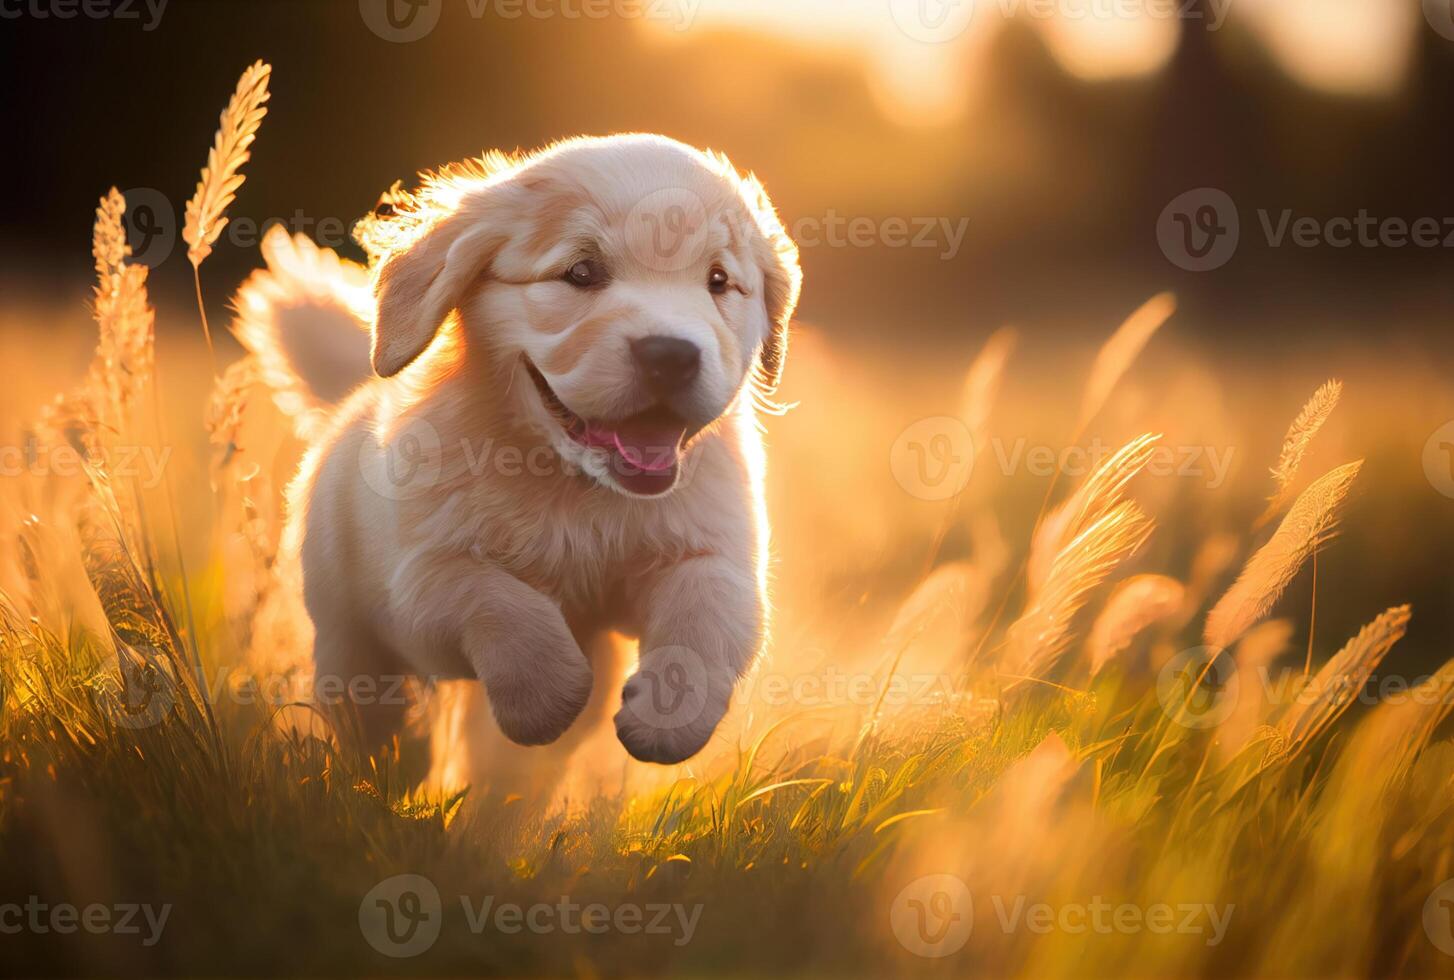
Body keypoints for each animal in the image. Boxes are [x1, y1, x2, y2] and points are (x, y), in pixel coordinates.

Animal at [239, 131, 808, 773]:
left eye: (718, 280)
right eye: (581, 272)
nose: (672, 354)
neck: (578, 488)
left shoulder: (717, 551)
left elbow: (708, 612)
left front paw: (667, 715)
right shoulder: (418, 581)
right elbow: (494, 599)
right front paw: (544, 698)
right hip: (344, 630)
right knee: (369, 714)